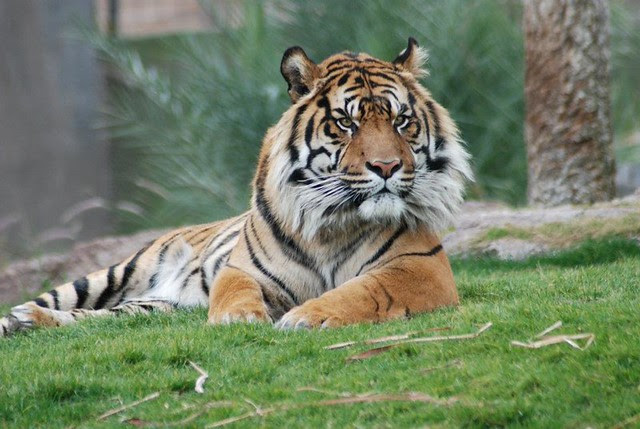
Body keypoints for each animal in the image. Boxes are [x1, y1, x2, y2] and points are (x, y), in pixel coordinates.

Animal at [0, 37, 472, 336]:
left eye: (401, 121)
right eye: (345, 123)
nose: (387, 166)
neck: (334, 223)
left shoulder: (421, 268)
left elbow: (365, 290)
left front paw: (307, 316)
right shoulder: (243, 269)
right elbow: (236, 290)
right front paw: (239, 319)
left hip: (148, 308)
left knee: (100, 318)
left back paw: (28, 322)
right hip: (116, 272)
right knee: (63, 300)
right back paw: (19, 318)